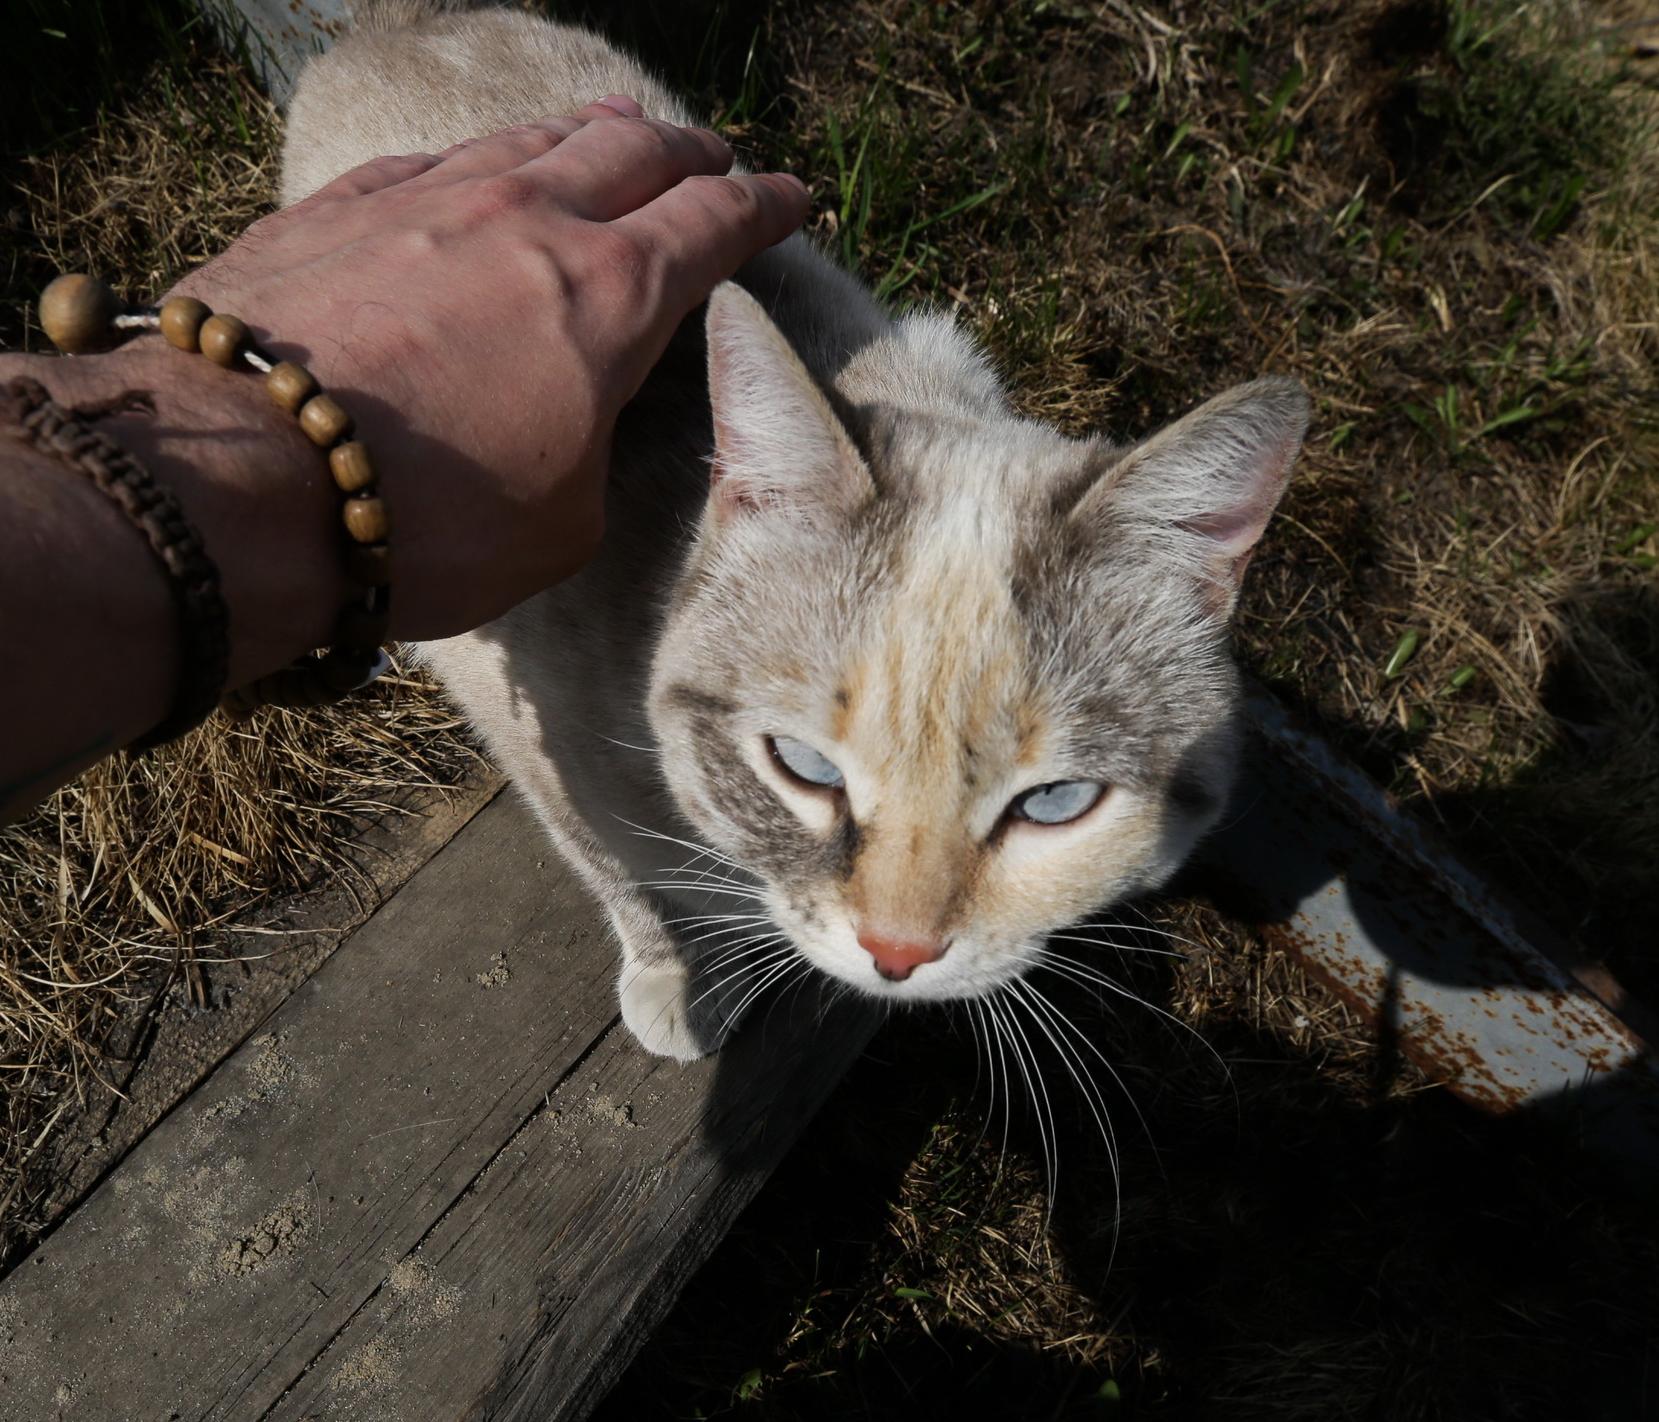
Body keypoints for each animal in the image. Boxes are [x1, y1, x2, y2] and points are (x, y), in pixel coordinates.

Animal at [285, 0, 1307, 1061]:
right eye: (804, 769)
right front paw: (679, 988)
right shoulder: (540, 753)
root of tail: (416, 22)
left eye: (1054, 805)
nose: (897, 956)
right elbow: (630, 881)